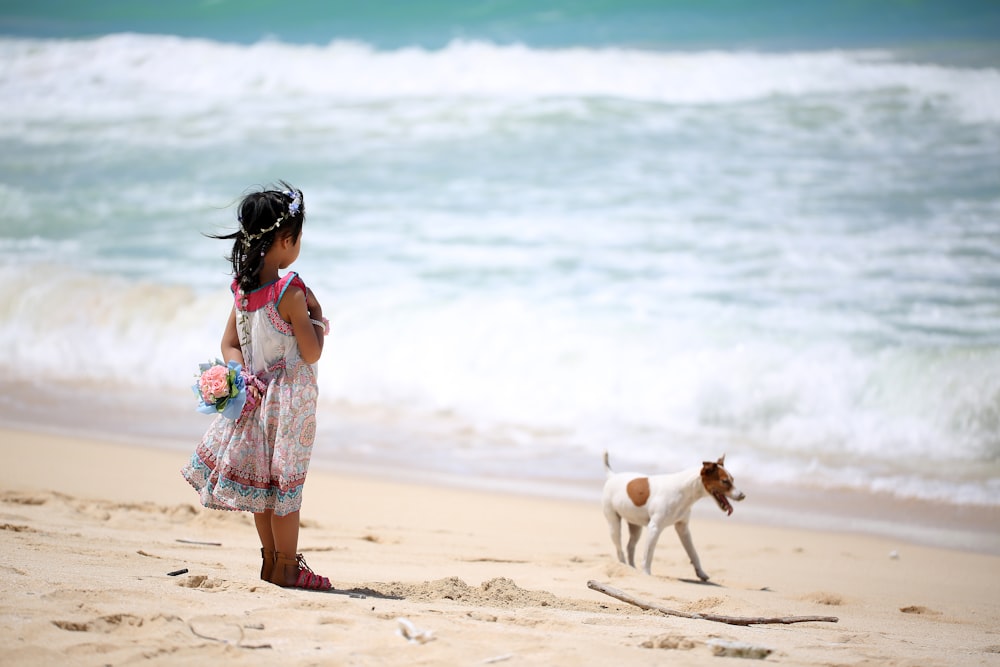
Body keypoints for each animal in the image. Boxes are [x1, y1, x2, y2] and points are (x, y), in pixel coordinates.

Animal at [600, 452, 744, 580]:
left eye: (733, 480)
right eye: (725, 481)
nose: (743, 495)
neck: (683, 491)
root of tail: (612, 476)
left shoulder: (683, 529)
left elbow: (693, 553)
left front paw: (701, 573)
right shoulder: (654, 528)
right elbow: (648, 554)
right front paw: (646, 573)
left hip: (636, 527)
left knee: (630, 547)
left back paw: (631, 568)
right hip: (614, 526)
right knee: (619, 549)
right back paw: (623, 565)